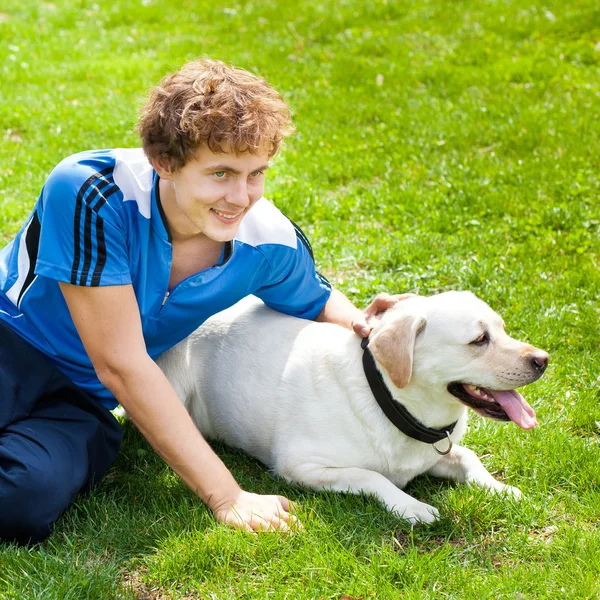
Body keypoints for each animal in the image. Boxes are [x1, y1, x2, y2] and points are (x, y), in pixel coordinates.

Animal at [156, 292, 548, 524]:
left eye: (503, 328)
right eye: (479, 340)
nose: (544, 360)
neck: (388, 401)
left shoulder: (434, 453)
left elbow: (469, 457)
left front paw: (498, 488)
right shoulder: (300, 466)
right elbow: (370, 476)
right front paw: (411, 505)